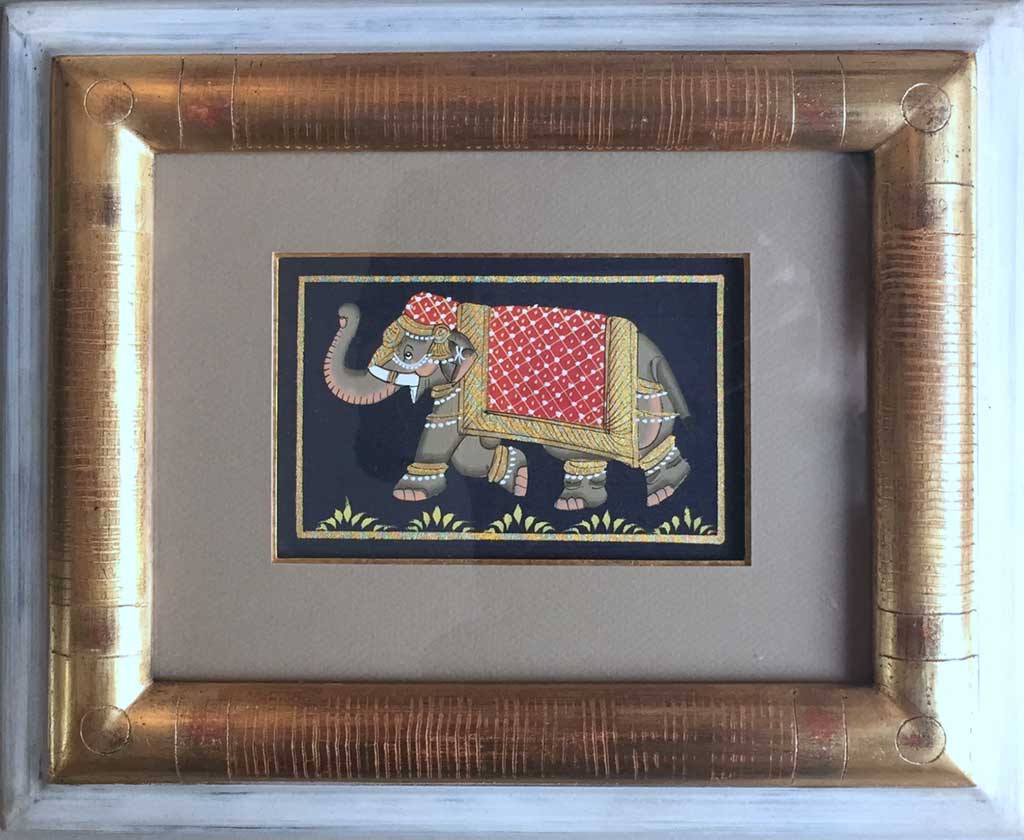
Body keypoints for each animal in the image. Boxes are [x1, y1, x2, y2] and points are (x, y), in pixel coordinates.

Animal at [323, 291, 693, 511]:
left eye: (409, 354)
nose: (342, 313)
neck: (459, 315)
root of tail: (656, 358)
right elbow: (466, 451)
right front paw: (518, 477)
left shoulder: (464, 385)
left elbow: (440, 433)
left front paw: (409, 494)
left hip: (640, 406)